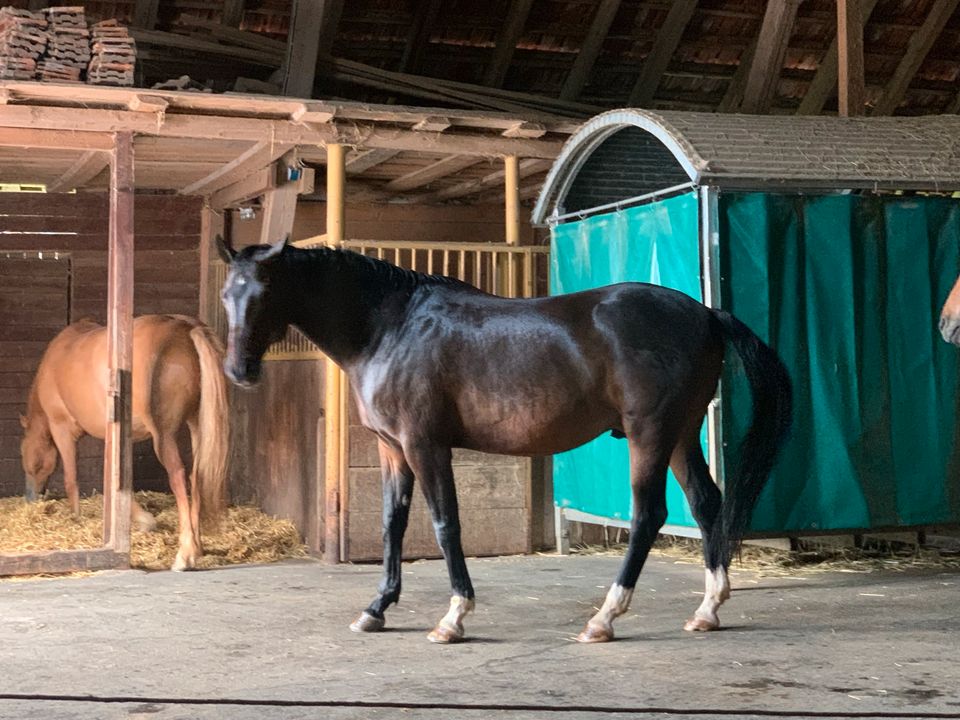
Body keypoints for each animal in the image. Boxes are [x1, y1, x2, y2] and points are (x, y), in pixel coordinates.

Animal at [19, 314, 230, 568]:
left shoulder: (62, 430)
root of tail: (185, 328)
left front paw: (77, 517)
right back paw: (198, 547)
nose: (31, 498)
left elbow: (73, 478)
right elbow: (116, 480)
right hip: (197, 424)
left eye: (29, 458)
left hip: (165, 435)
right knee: (197, 476)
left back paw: (186, 553)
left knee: (178, 475)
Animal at [221, 239, 792, 644]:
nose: (238, 371)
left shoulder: (425, 446)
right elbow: (391, 526)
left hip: (649, 435)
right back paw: (707, 610)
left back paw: (604, 618)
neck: (390, 327)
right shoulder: (392, 450)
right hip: (680, 435)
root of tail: (705, 314)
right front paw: (376, 608)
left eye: (264, 291)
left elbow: (445, 524)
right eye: (228, 294)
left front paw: (454, 617)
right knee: (706, 503)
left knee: (649, 515)